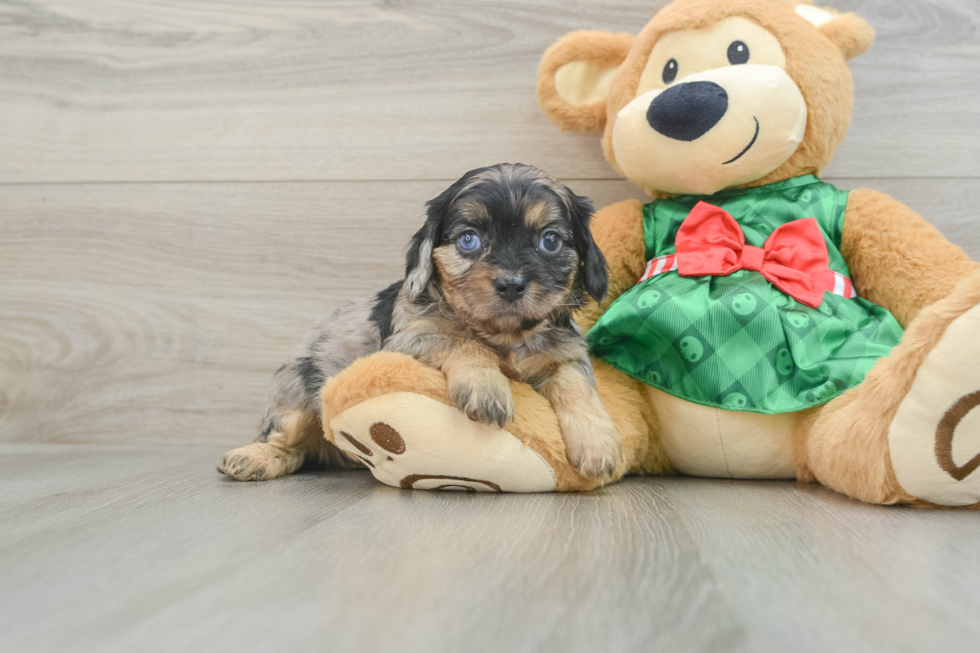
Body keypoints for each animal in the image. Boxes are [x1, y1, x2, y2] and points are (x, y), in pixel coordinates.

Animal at [220, 162, 620, 478]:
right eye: (469, 240)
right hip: (298, 398)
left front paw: (598, 443)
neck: (503, 335)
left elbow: (576, 384)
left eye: (550, 241)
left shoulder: (564, 353)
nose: (510, 284)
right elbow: (463, 340)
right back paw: (252, 457)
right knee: (286, 442)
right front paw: (486, 387)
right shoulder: (411, 337)